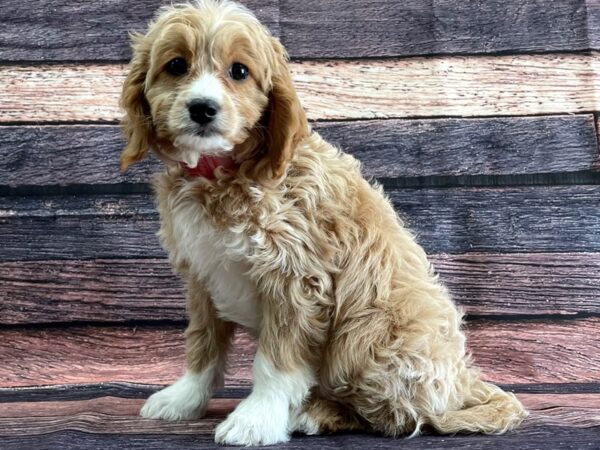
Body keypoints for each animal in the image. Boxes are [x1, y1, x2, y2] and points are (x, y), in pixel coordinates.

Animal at [119, 0, 528, 442]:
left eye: (239, 71)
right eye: (176, 65)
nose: (203, 108)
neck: (220, 173)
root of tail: (461, 384)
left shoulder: (295, 278)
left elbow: (275, 362)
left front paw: (256, 419)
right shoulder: (203, 275)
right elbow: (202, 344)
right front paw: (184, 398)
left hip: (368, 333)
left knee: (398, 415)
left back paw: (314, 413)